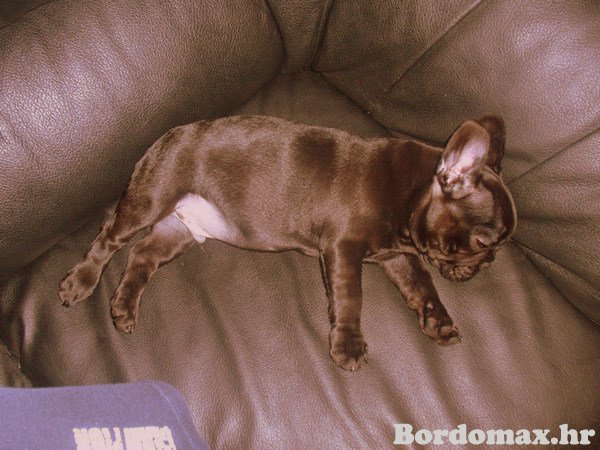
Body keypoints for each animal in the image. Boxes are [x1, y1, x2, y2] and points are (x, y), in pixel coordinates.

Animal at [59, 115, 517, 371]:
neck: (410, 192)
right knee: (109, 237)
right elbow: (350, 297)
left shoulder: (397, 257)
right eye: (482, 241)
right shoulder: (343, 249)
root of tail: (166, 136)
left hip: (180, 231)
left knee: (141, 254)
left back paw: (123, 305)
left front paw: (438, 322)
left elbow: (422, 287)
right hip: (151, 197)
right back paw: (80, 281)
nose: (488, 262)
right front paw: (348, 345)